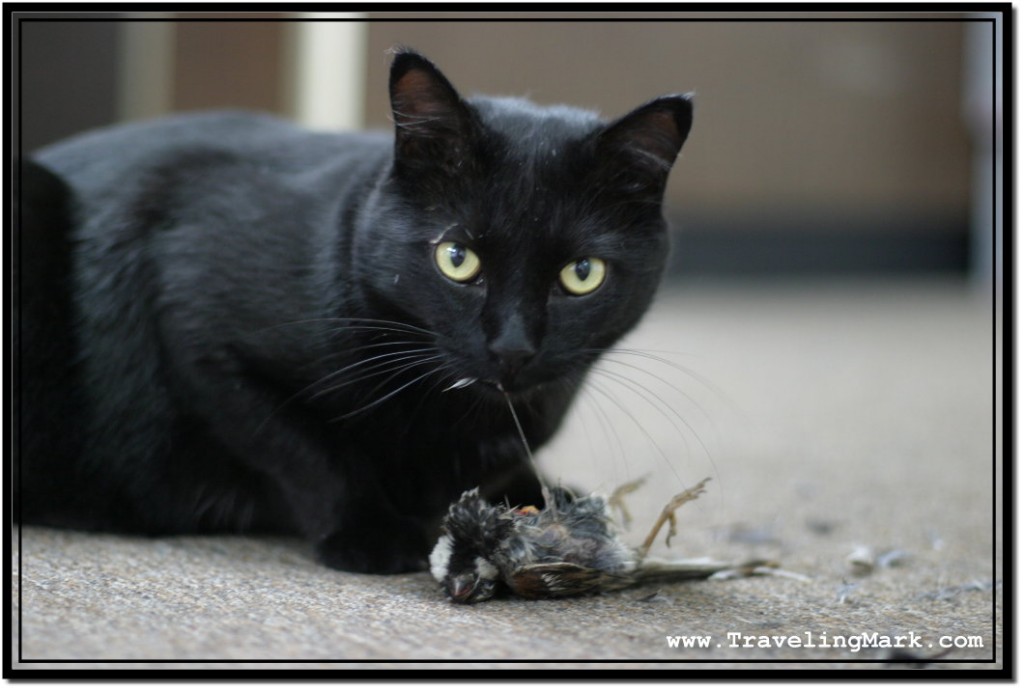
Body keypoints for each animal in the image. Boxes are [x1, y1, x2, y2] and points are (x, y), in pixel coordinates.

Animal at [14, 49, 696, 573]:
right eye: (457, 258)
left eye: (582, 274)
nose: (512, 347)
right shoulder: (196, 325)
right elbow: (304, 449)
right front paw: (372, 534)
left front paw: (551, 498)